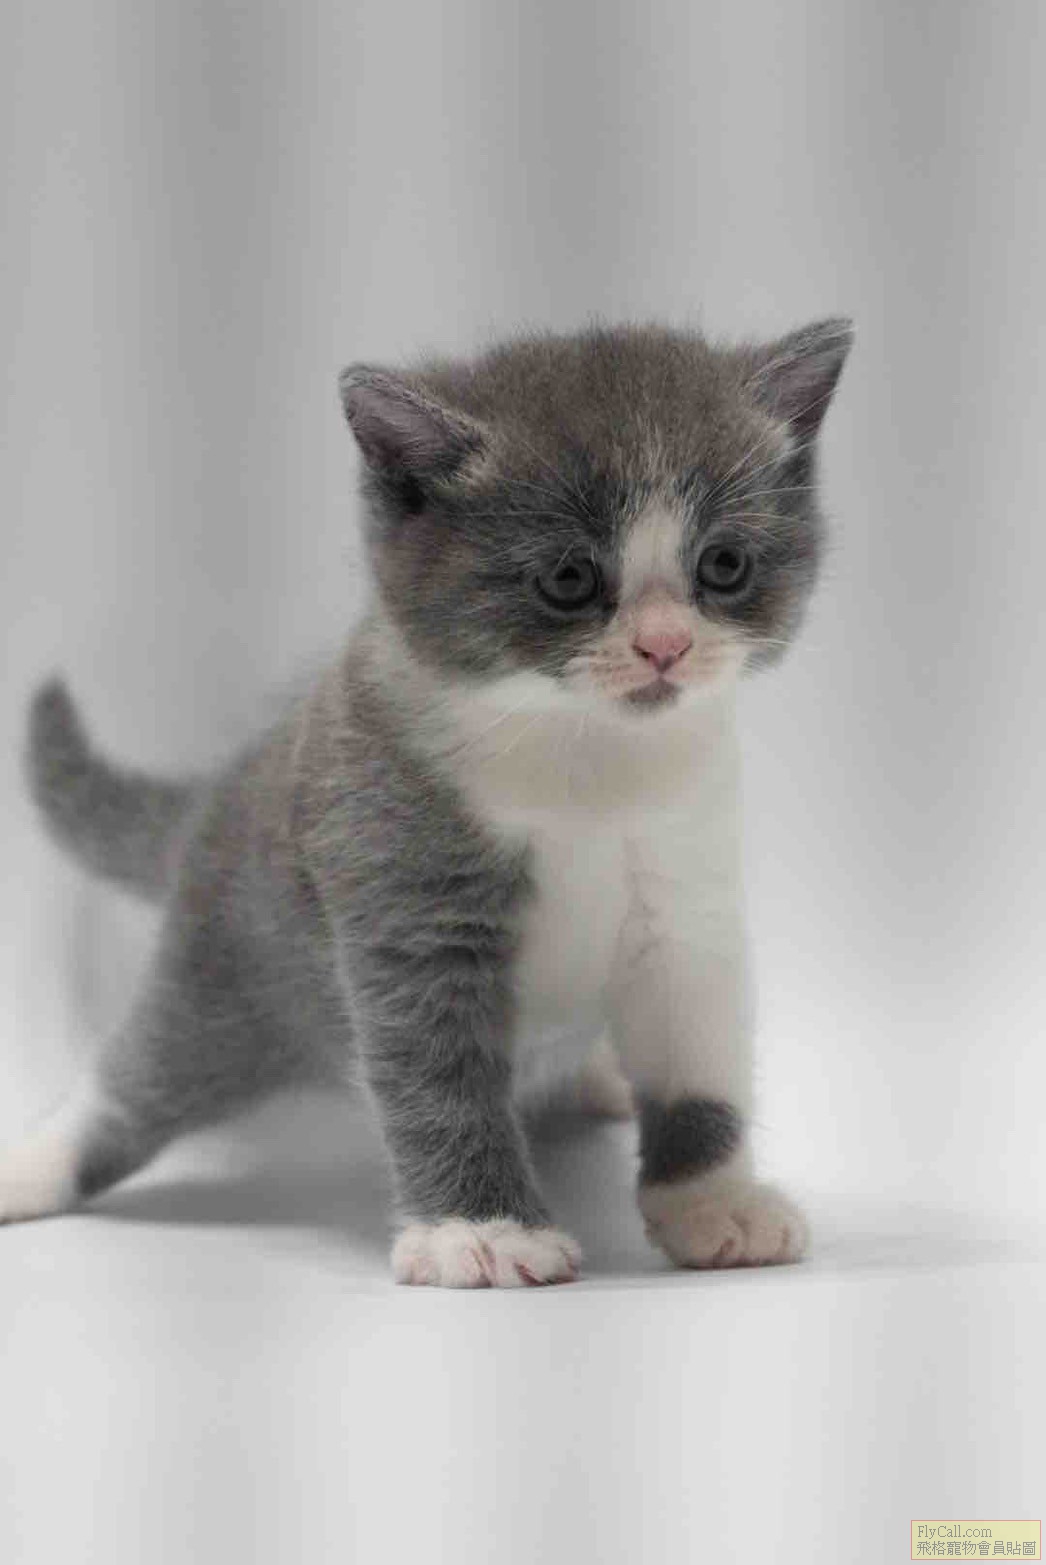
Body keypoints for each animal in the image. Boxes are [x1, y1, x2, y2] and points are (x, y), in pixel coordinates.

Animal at [5, 317, 852, 1287]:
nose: (665, 645)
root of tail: (211, 803)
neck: (585, 760)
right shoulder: (403, 900)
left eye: (724, 564)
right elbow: (436, 1075)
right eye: (569, 578)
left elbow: (697, 1065)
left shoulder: (687, 905)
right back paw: (34, 1163)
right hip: (224, 966)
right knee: (135, 1080)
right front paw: (483, 1228)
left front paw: (713, 1200)